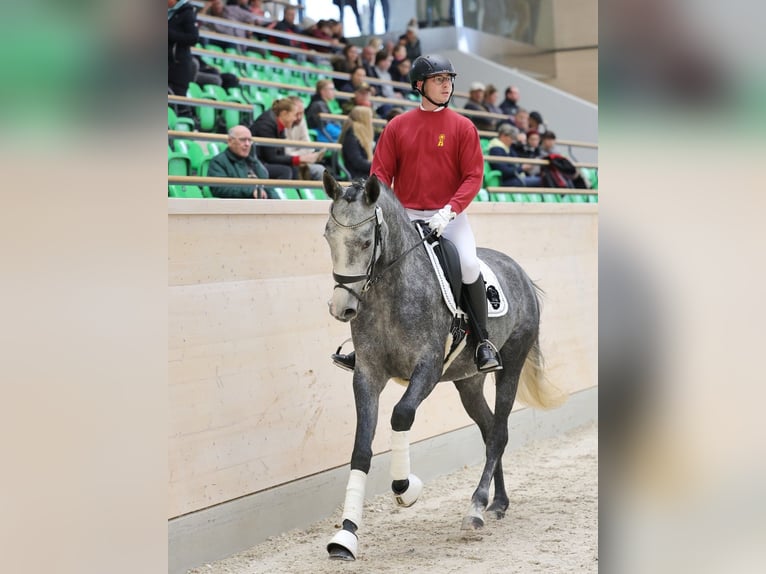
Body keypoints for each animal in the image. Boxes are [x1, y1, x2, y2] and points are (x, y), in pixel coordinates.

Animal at [321, 171, 565, 561]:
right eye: (328, 235)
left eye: (366, 241)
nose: (341, 308)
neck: (390, 292)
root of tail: (520, 271)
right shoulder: (367, 375)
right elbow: (361, 449)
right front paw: (346, 535)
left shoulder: (427, 369)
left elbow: (401, 415)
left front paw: (407, 488)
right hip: (467, 383)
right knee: (490, 430)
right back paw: (498, 502)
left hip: (510, 367)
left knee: (498, 432)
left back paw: (476, 508)